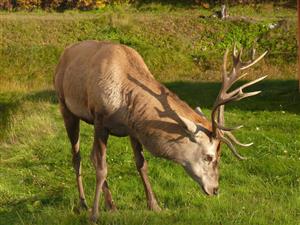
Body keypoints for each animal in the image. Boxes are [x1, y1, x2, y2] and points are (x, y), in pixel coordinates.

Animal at [54, 40, 268, 221]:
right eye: (209, 157)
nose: (215, 189)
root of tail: (63, 54)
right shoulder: (100, 120)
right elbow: (101, 167)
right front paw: (95, 215)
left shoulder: (133, 129)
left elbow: (141, 164)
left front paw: (154, 205)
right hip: (65, 106)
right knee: (78, 156)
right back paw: (84, 203)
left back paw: (110, 205)